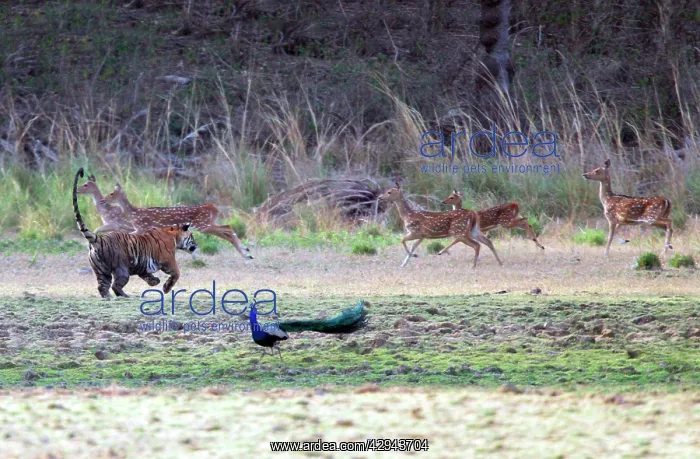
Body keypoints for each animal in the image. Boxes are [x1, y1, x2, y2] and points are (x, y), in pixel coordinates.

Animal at [72, 168, 198, 298]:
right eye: (192, 237)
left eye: (85, 185)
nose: (196, 245)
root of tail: (98, 240)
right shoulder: (167, 259)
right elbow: (177, 273)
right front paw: (165, 287)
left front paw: (156, 282)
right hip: (118, 268)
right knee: (112, 286)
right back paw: (125, 295)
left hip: (104, 270)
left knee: (105, 286)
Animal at [102, 183, 254, 260]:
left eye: (111, 193)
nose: (102, 200)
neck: (134, 214)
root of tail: (213, 208)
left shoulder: (142, 227)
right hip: (207, 224)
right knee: (227, 229)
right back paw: (246, 251)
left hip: (203, 225)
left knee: (227, 228)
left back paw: (246, 254)